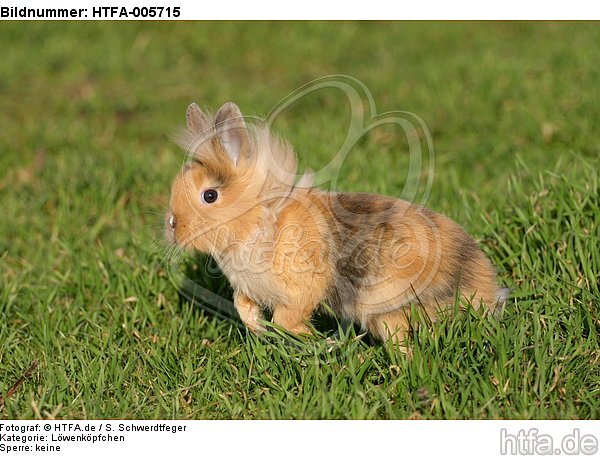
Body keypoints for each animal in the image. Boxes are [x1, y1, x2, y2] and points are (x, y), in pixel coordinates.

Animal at [165, 101, 506, 348]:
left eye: (210, 195)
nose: (171, 226)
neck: (260, 220)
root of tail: (488, 290)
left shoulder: (303, 288)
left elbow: (287, 318)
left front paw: (312, 339)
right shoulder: (247, 290)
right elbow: (243, 307)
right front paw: (260, 330)